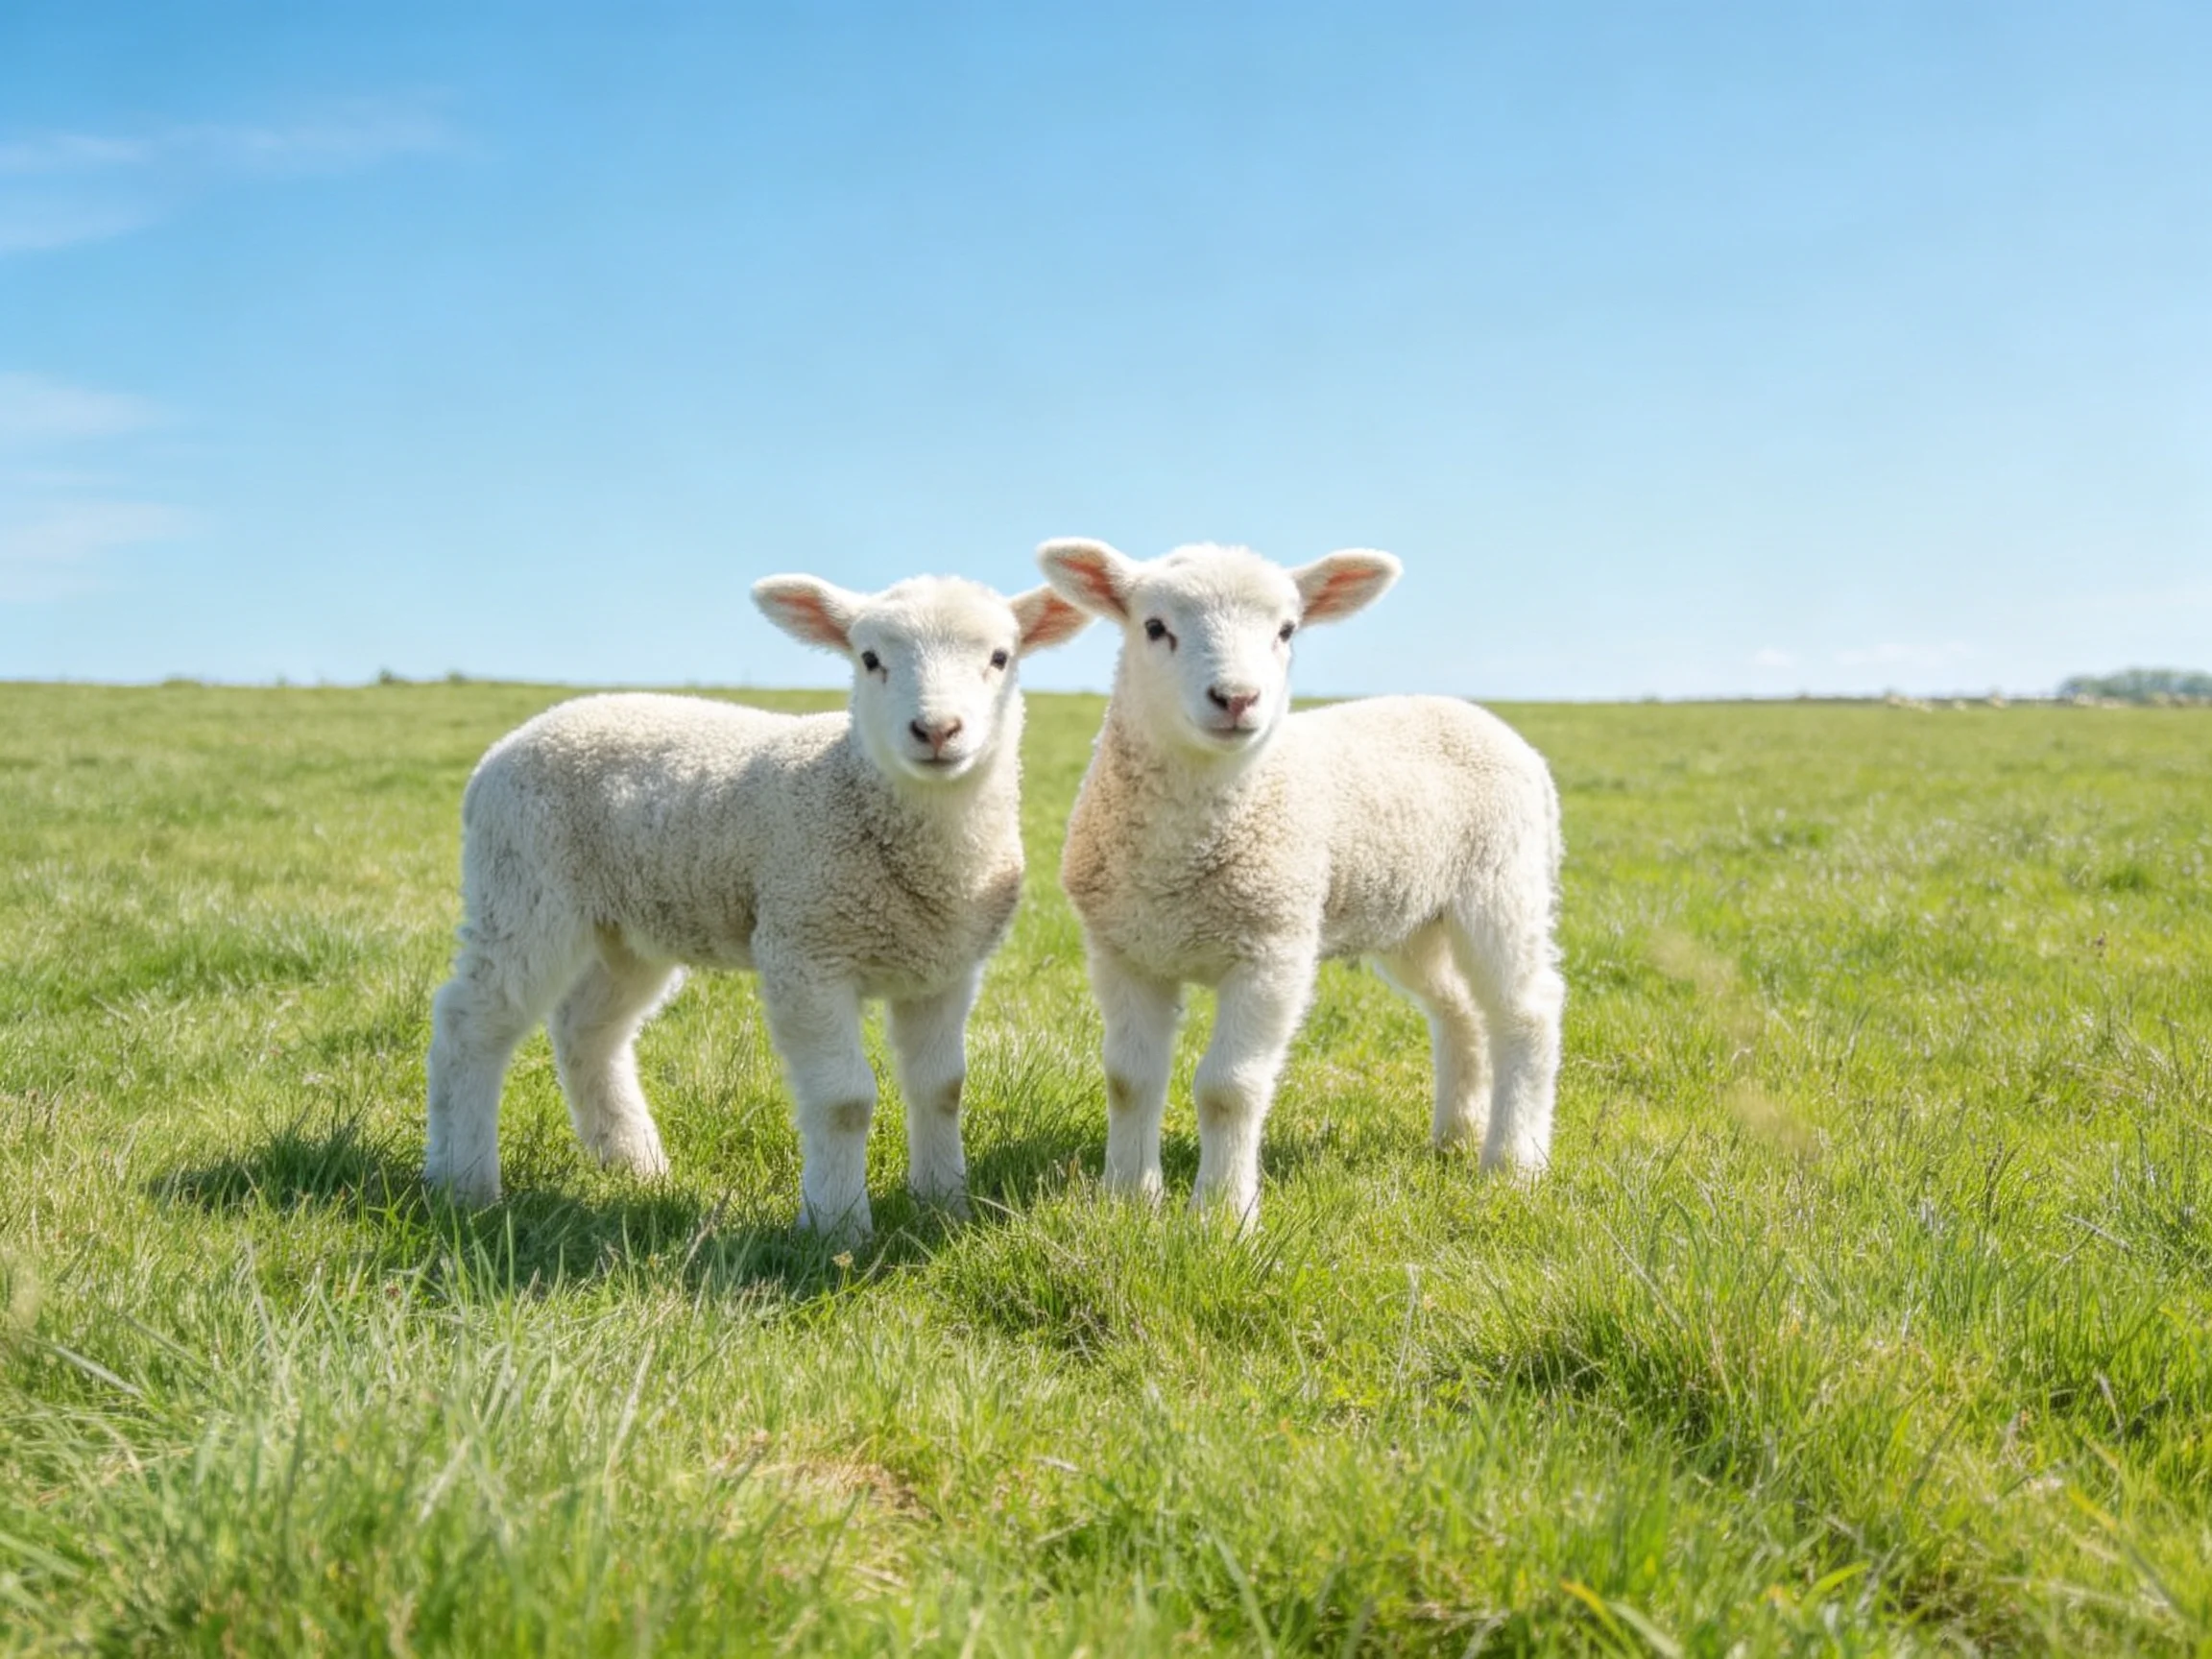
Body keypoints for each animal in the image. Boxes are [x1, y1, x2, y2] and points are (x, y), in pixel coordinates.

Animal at [422, 572, 1090, 1238]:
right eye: (869, 659)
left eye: (1000, 657)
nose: (936, 731)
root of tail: (511, 743)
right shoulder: (805, 950)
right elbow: (844, 1101)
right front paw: (837, 1226)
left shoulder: (944, 968)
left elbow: (942, 1088)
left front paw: (943, 1206)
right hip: (523, 888)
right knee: (470, 1022)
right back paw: (463, 1180)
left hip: (631, 925)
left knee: (588, 1030)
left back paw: (634, 1164)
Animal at [1036, 538, 1564, 1225]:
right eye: (1154, 627)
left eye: (1286, 631)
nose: (1237, 698)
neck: (1180, 864)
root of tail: (1472, 713)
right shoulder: (1124, 951)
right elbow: (1129, 1079)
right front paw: (1128, 1201)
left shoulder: (1274, 949)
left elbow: (1228, 1089)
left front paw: (1222, 1216)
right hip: (1413, 917)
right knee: (1457, 1011)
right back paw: (1456, 1135)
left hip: (1504, 885)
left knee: (1527, 1012)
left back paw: (1513, 1162)